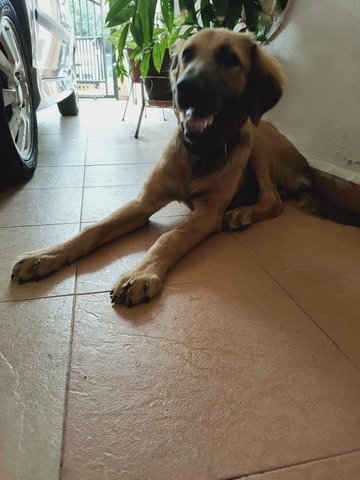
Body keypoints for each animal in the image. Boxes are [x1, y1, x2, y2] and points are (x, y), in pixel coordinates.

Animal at [10, 28, 354, 306]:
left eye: (230, 58)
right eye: (187, 55)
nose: (186, 87)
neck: (199, 150)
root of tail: (304, 165)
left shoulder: (207, 212)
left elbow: (169, 237)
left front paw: (141, 274)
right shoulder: (144, 201)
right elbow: (95, 228)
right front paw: (46, 256)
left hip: (256, 140)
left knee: (274, 200)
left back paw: (242, 213)